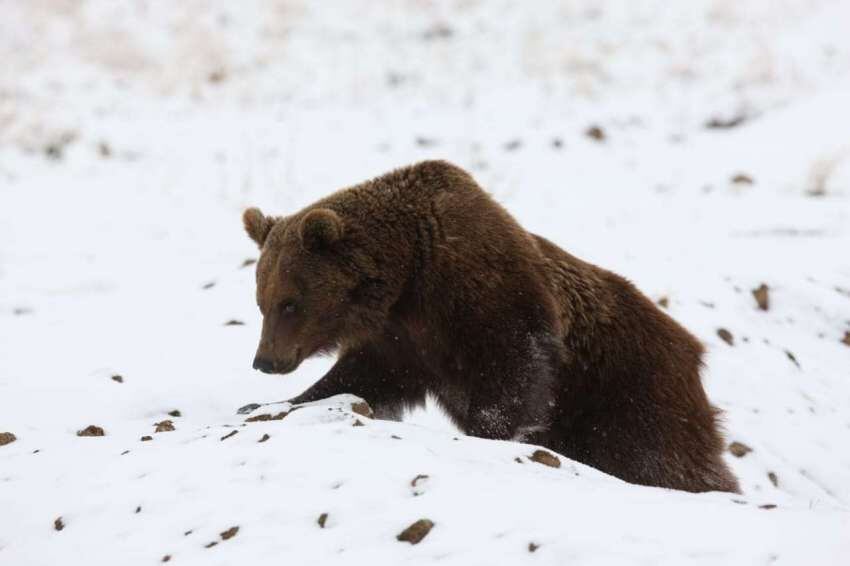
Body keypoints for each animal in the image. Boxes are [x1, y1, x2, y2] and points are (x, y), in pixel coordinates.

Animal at [242, 159, 740, 492]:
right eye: (262, 301)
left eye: (290, 303)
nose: (265, 360)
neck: (407, 276)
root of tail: (694, 351)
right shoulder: (401, 340)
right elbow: (363, 377)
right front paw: (273, 403)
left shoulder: (489, 299)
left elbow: (513, 371)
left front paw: (490, 432)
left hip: (630, 393)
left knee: (659, 459)